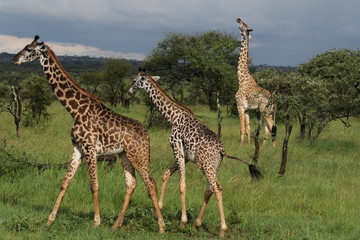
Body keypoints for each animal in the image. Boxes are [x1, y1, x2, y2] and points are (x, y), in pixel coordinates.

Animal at [11, 35, 165, 232]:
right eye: (25, 46)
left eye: (29, 49)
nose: (14, 59)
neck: (75, 110)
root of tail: (146, 134)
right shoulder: (78, 148)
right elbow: (64, 182)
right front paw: (50, 219)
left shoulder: (90, 148)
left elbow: (94, 185)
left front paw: (96, 221)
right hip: (124, 155)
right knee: (131, 184)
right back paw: (117, 224)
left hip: (138, 154)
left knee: (150, 182)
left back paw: (161, 227)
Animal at [128, 68, 260, 238]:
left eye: (134, 80)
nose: (129, 91)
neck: (172, 117)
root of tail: (222, 151)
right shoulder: (185, 156)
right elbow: (166, 173)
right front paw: (160, 205)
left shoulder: (176, 148)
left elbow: (182, 184)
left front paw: (182, 221)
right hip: (213, 166)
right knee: (209, 189)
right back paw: (197, 224)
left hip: (205, 165)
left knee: (217, 188)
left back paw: (222, 229)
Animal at [235, 17, 278, 145]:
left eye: (243, 25)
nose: (238, 18)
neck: (242, 79)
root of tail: (275, 100)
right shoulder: (247, 109)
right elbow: (248, 129)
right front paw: (248, 144)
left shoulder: (239, 105)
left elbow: (241, 128)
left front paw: (240, 145)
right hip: (267, 111)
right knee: (269, 128)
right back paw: (266, 146)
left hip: (264, 110)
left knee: (272, 126)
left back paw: (272, 147)